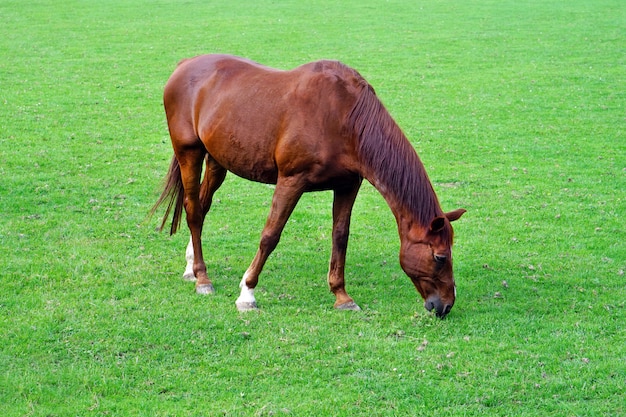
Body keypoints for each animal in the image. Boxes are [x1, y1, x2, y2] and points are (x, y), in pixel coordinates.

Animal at [152, 53, 464, 316]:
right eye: (440, 257)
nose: (446, 305)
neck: (344, 117)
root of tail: (185, 65)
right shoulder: (292, 181)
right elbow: (270, 235)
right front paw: (247, 293)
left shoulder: (348, 185)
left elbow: (340, 236)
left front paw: (342, 296)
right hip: (189, 153)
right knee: (193, 210)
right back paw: (202, 278)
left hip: (218, 160)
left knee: (202, 207)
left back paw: (191, 266)